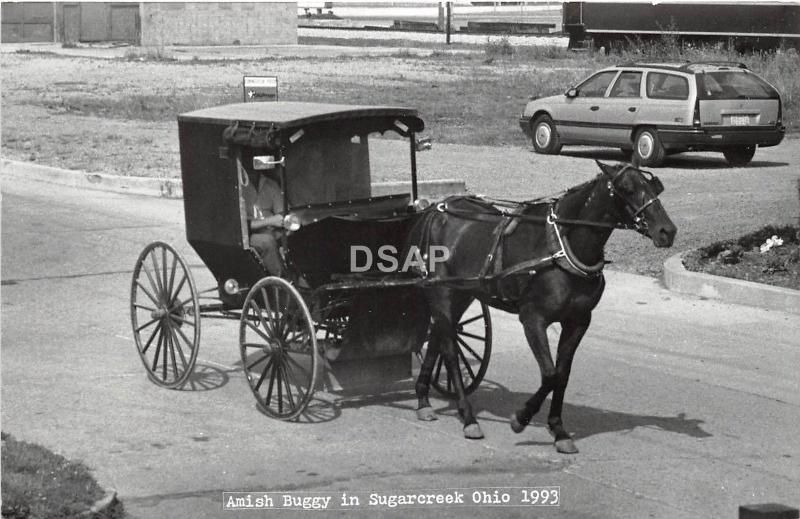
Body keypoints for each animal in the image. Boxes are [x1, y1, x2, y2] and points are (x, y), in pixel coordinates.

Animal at [406, 160, 676, 452]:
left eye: (654, 186)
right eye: (626, 188)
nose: (667, 231)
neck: (561, 249)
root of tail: (435, 209)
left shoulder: (578, 321)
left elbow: (562, 375)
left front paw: (559, 430)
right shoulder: (532, 319)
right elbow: (549, 375)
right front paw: (521, 418)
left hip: (463, 292)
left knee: (440, 336)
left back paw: (423, 399)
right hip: (441, 290)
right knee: (449, 351)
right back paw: (467, 416)